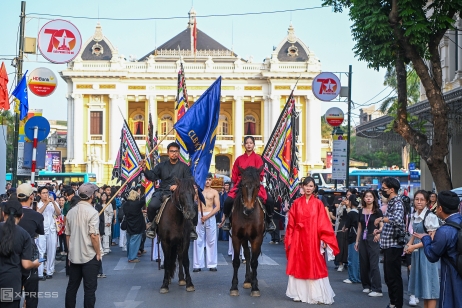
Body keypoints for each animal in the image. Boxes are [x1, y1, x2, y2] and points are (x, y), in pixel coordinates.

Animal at [230, 167, 266, 298]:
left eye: (258, 185)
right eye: (242, 185)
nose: (248, 209)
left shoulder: (257, 238)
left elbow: (255, 262)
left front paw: (255, 287)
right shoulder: (236, 237)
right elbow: (236, 261)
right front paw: (234, 287)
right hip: (244, 239)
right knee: (247, 254)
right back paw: (247, 280)